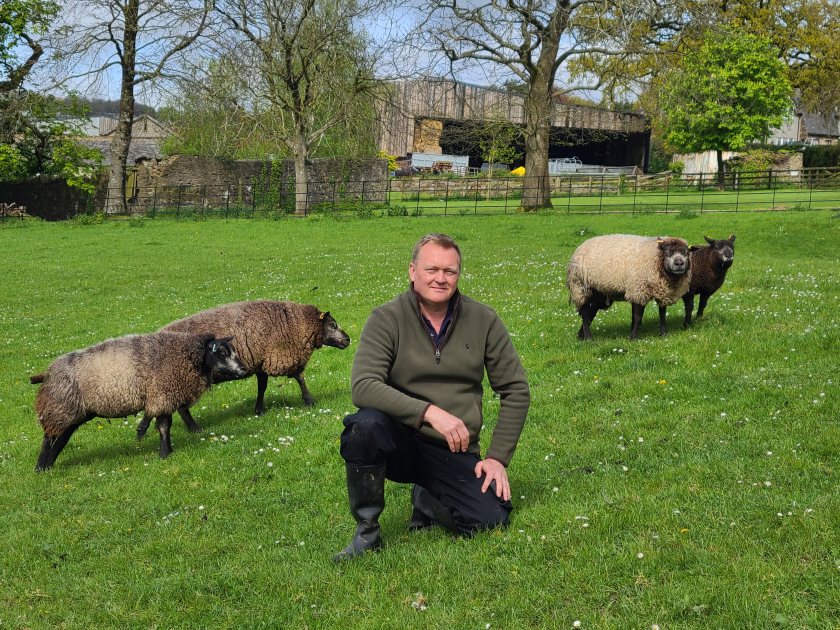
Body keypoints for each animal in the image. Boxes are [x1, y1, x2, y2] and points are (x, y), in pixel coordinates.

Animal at [30, 334, 246, 472]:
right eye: (221, 353)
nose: (243, 369)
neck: (186, 355)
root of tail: (48, 372)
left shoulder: (165, 397)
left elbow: (166, 425)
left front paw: (169, 451)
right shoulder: (161, 396)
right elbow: (163, 427)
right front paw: (164, 454)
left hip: (71, 412)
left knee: (61, 438)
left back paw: (48, 466)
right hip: (59, 408)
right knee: (49, 438)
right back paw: (40, 468)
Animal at [159, 300, 350, 430]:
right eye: (332, 325)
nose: (348, 339)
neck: (296, 323)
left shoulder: (261, 362)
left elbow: (262, 387)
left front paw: (259, 410)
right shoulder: (281, 357)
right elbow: (300, 378)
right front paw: (309, 401)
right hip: (184, 378)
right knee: (183, 408)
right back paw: (195, 429)